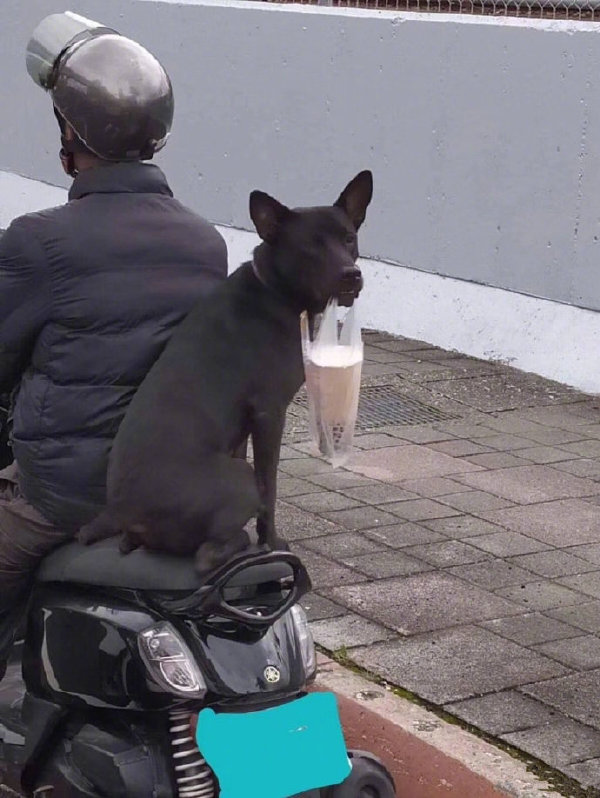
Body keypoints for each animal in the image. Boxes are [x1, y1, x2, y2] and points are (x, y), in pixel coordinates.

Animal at [78, 170, 373, 574]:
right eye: (310, 247)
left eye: (349, 239)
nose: (351, 276)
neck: (275, 290)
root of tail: (125, 514)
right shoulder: (269, 412)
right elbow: (269, 486)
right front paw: (271, 542)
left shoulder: (244, 427)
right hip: (236, 478)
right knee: (206, 555)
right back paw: (242, 545)